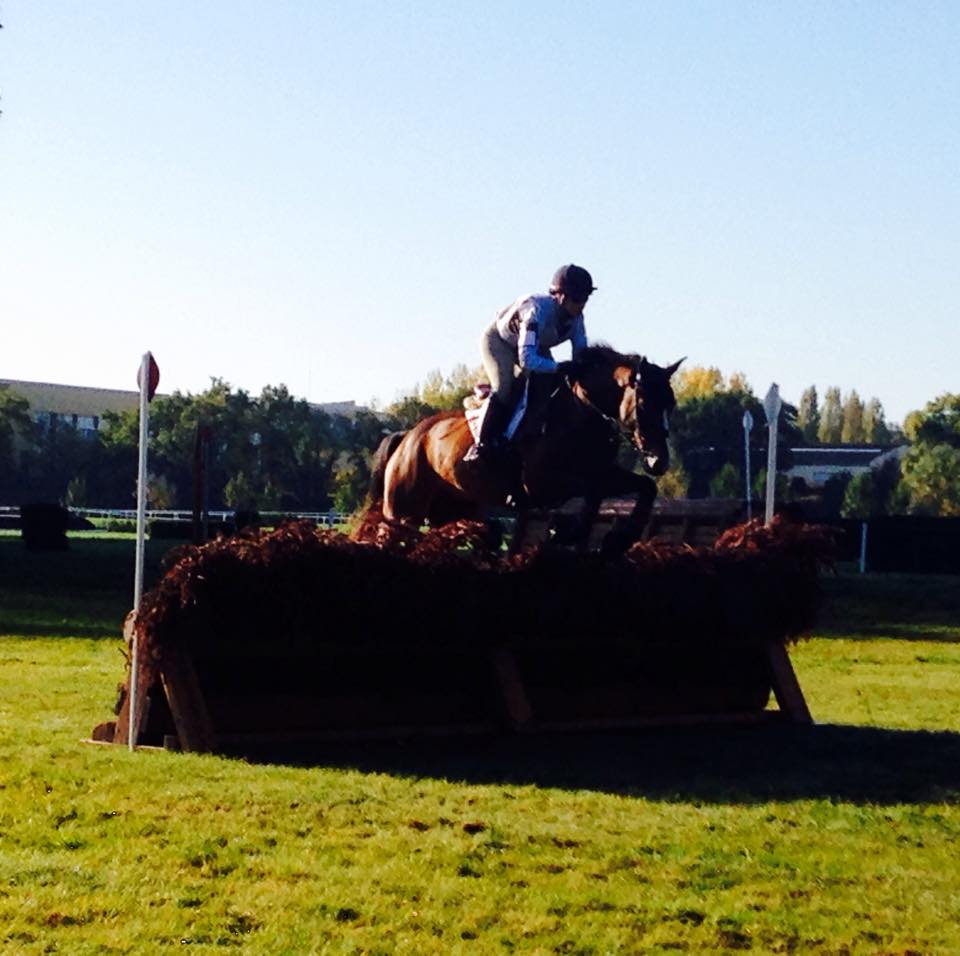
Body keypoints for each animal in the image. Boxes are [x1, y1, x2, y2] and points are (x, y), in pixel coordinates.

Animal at [362, 344, 684, 552]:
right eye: (644, 403)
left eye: (671, 404)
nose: (659, 462)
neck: (581, 411)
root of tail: (408, 437)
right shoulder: (544, 485)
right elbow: (593, 492)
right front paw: (565, 531)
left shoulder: (603, 472)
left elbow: (644, 487)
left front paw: (618, 538)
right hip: (404, 513)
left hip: (453, 510)